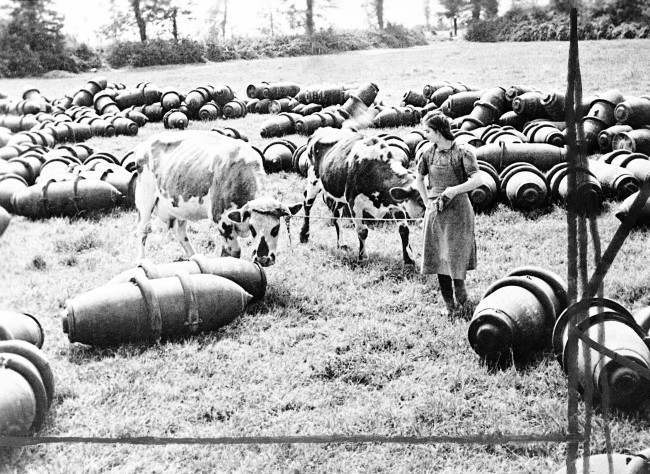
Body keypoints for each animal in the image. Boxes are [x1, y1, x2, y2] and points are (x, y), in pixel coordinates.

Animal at [134, 131, 304, 266]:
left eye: (276, 229)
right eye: (253, 228)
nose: (263, 259)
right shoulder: (222, 221)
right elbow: (233, 253)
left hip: (179, 206)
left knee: (180, 232)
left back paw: (195, 257)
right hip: (145, 199)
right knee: (142, 230)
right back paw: (141, 261)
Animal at [298, 128, 426, 264]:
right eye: (421, 201)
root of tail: (321, 130)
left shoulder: (395, 203)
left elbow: (404, 229)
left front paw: (409, 259)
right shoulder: (354, 203)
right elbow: (362, 231)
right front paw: (363, 257)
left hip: (340, 192)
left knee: (335, 215)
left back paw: (341, 243)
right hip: (313, 180)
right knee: (307, 205)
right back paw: (304, 235)